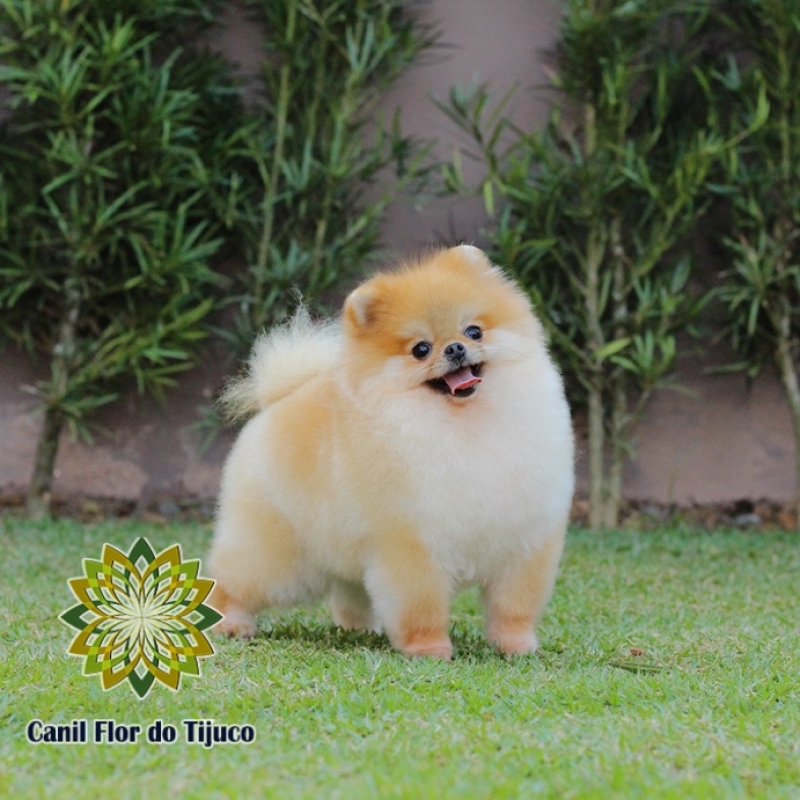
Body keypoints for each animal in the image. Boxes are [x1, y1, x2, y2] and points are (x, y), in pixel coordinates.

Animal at [209, 247, 572, 660]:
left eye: (474, 331)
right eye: (421, 349)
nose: (456, 348)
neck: (464, 423)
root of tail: (280, 399)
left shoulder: (525, 543)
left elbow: (513, 607)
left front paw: (517, 647)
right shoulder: (411, 544)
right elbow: (421, 605)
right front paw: (429, 649)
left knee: (348, 587)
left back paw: (358, 627)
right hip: (277, 554)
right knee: (235, 581)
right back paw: (229, 623)